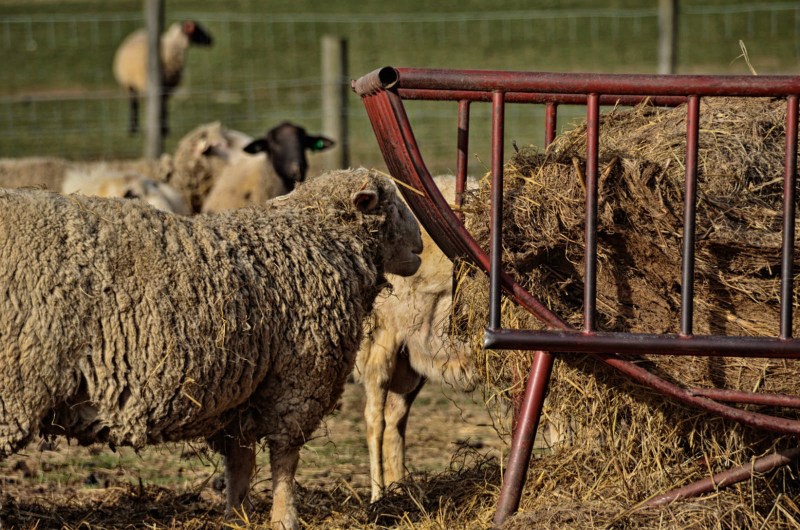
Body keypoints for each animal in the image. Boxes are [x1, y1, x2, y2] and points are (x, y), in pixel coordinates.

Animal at [354, 175, 479, 503]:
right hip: (382, 338)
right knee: (374, 420)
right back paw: (379, 496)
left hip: (408, 359)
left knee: (395, 420)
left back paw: (400, 490)